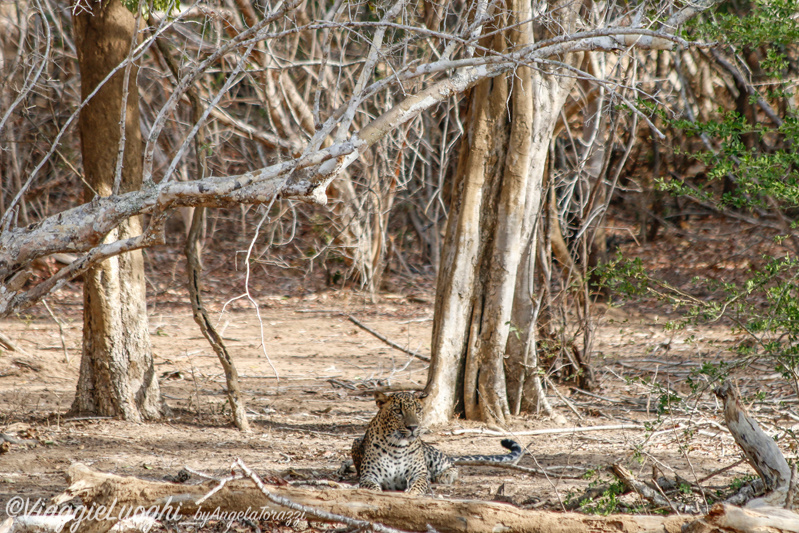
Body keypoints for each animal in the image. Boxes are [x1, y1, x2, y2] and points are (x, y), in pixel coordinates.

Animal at [352, 386, 524, 494]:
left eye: (418, 410)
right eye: (397, 411)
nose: (413, 427)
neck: (396, 446)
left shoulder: (419, 474)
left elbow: (419, 485)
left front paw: (411, 493)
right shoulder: (369, 476)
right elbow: (371, 488)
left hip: (433, 456)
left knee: (451, 465)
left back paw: (445, 476)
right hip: (355, 441)